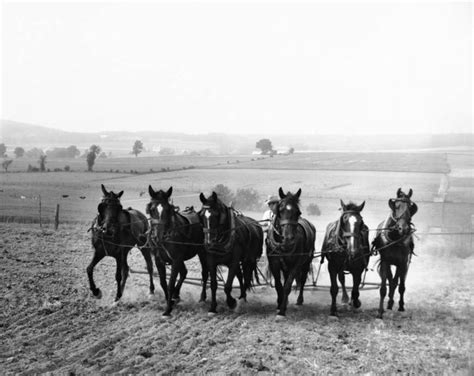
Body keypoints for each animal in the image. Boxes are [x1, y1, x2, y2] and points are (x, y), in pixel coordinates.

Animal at [146, 187, 207, 316]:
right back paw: (176, 295)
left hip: (203, 253)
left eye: (167, 209)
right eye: (152, 209)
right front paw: (169, 300)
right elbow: (163, 282)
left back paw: (202, 298)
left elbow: (170, 284)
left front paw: (168, 309)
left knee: (205, 273)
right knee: (184, 272)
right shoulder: (159, 260)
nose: (157, 236)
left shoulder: (175, 260)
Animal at [266, 188, 314, 318]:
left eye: (298, 212)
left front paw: (282, 310)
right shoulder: (274, 263)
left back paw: (299, 300)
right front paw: (279, 304)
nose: (288, 238)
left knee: (302, 281)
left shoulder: (296, 264)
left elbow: (287, 286)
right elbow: (279, 285)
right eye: (280, 210)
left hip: (306, 263)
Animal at [374, 187, 418, 318]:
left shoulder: (403, 263)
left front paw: (401, 306)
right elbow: (383, 288)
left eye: (410, 207)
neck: (394, 239)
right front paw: (380, 311)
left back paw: (392, 302)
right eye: (397, 206)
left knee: (396, 281)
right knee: (391, 279)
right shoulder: (385, 262)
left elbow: (401, 286)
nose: (403, 228)